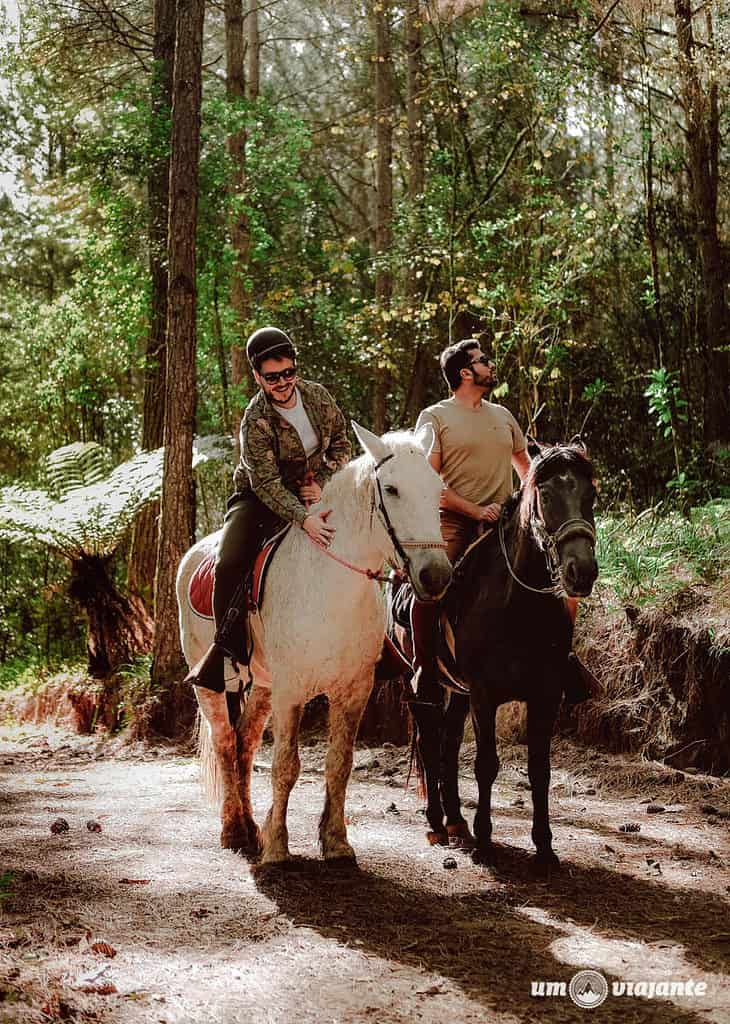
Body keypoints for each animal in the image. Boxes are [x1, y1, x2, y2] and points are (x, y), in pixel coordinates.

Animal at [176, 423, 450, 864]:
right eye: (391, 489)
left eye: (437, 489)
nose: (436, 576)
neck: (330, 585)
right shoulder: (291, 691)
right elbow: (286, 765)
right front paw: (278, 847)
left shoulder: (354, 690)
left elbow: (340, 763)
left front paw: (335, 841)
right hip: (213, 681)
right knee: (225, 742)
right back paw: (234, 830)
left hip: (263, 684)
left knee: (245, 742)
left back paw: (251, 829)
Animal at [403, 436, 597, 876]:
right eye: (545, 495)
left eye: (590, 494)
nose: (582, 571)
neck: (518, 606)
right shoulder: (485, 695)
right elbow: (486, 764)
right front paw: (486, 844)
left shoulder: (545, 696)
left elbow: (540, 769)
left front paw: (544, 848)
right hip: (426, 685)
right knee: (430, 740)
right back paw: (437, 821)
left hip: (458, 691)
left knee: (449, 742)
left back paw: (456, 821)